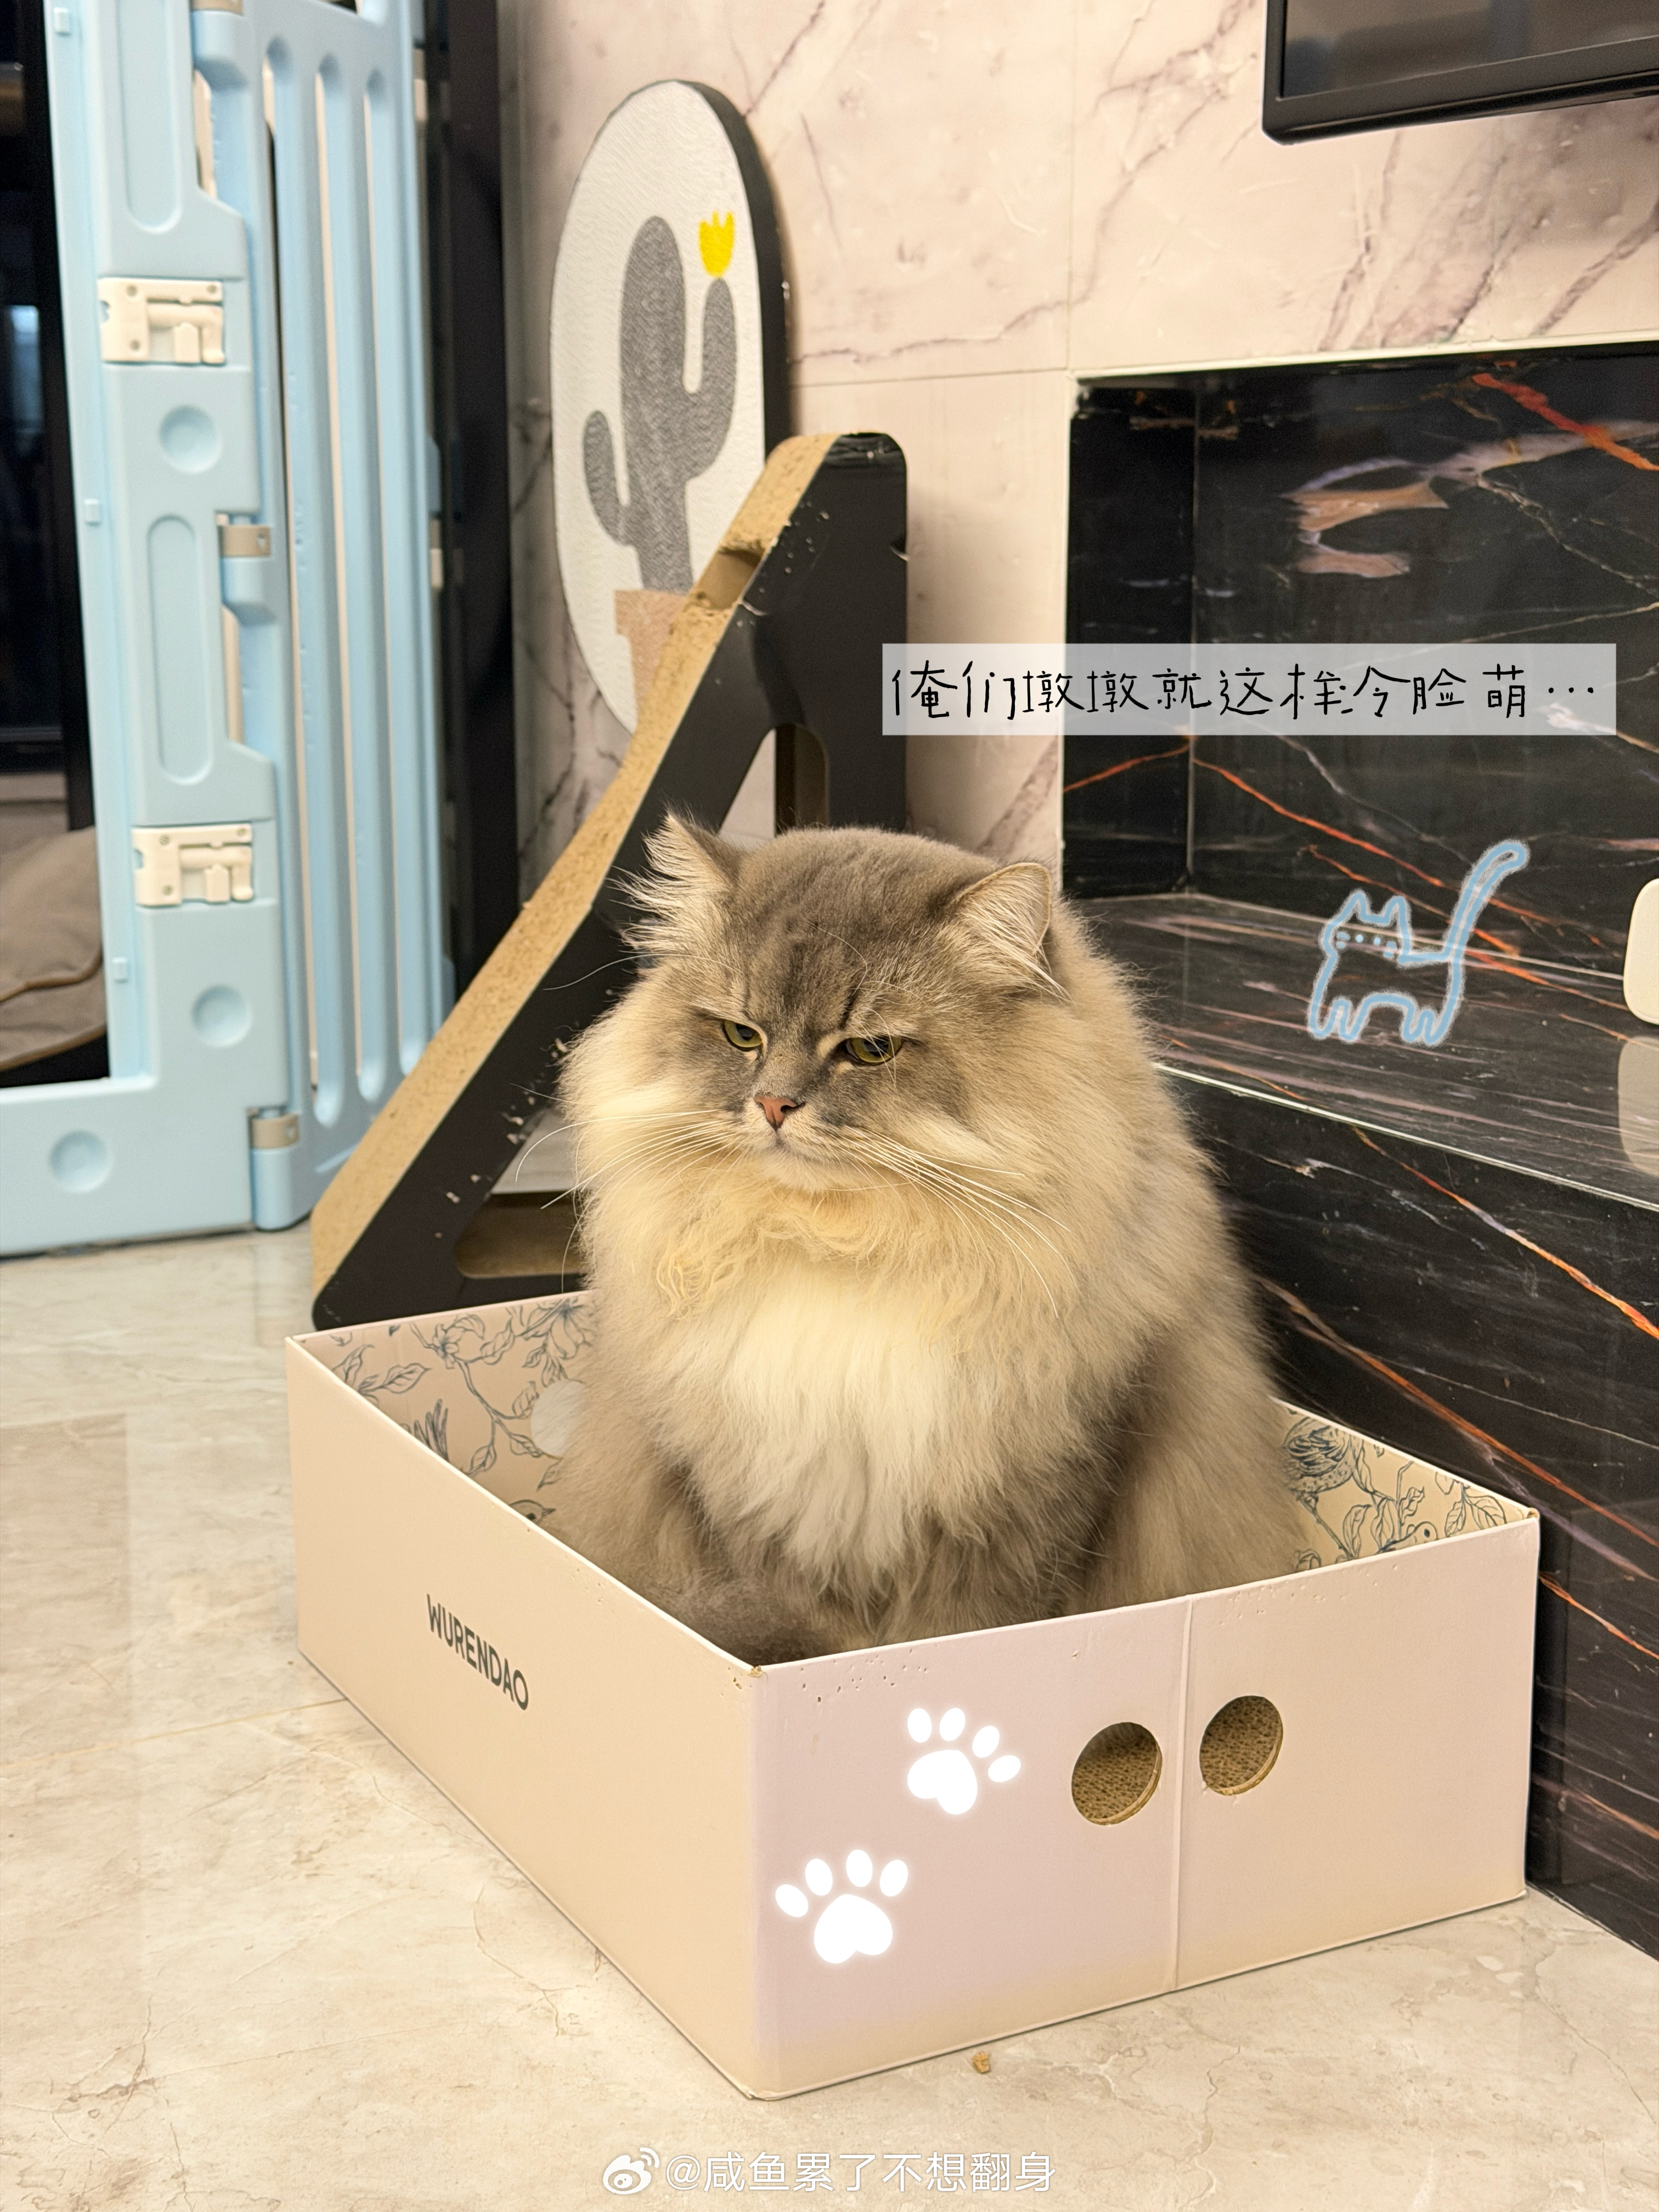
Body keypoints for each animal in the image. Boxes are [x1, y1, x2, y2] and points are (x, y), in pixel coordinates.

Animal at [541, 817, 1299, 1663]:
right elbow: (810, 1627)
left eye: (870, 1050)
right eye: (743, 1036)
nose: (772, 1105)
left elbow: (973, 1629)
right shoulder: (750, 1509)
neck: (840, 1246)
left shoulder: (1037, 1494)